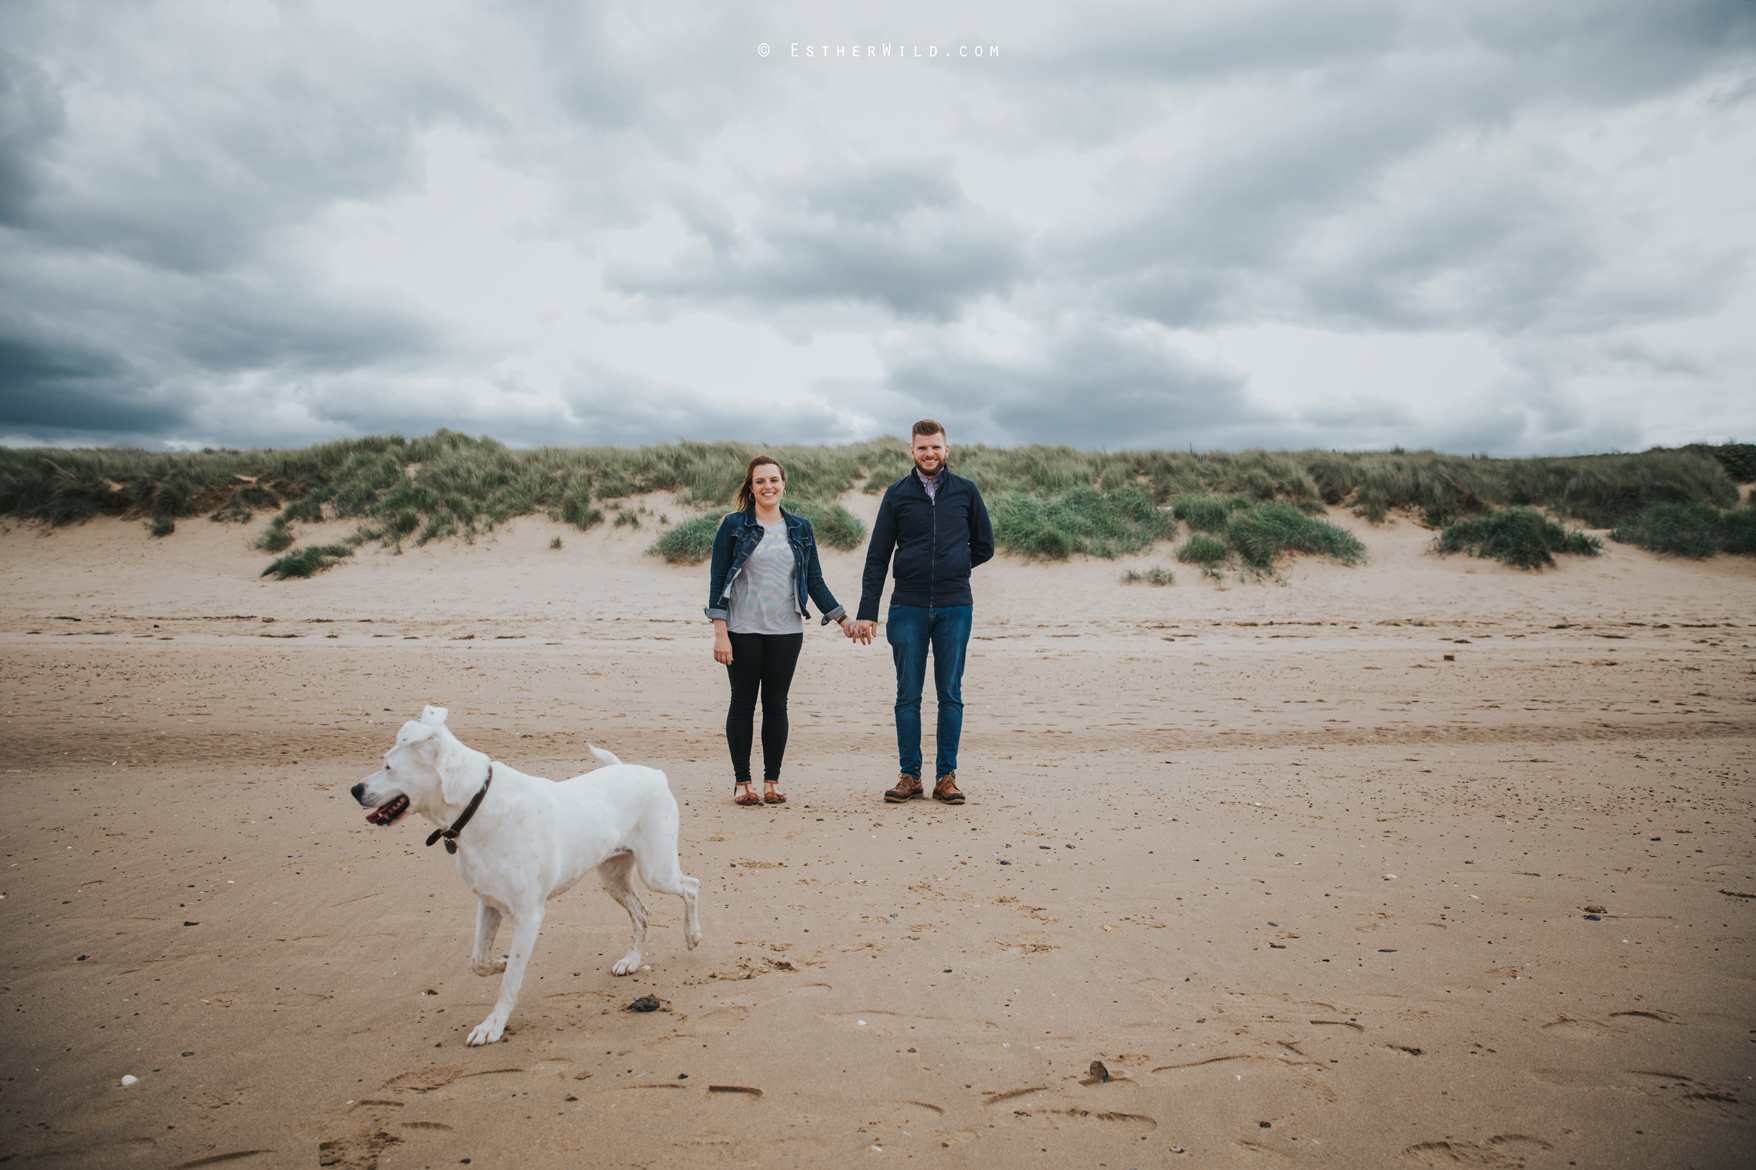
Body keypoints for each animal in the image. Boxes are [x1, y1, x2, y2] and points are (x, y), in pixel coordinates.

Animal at [352, 706, 702, 1040]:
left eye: (388, 766)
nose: (355, 789)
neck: (476, 804)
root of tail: (655, 774)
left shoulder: (528, 917)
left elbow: (509, 984)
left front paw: (492, 1026)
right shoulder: (488, 903)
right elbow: (479, 962)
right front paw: (501, 962)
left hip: (656, 871)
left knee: (691, 886)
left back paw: (692, 936)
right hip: (613, 879)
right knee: (642, 913)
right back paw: (631, 961)